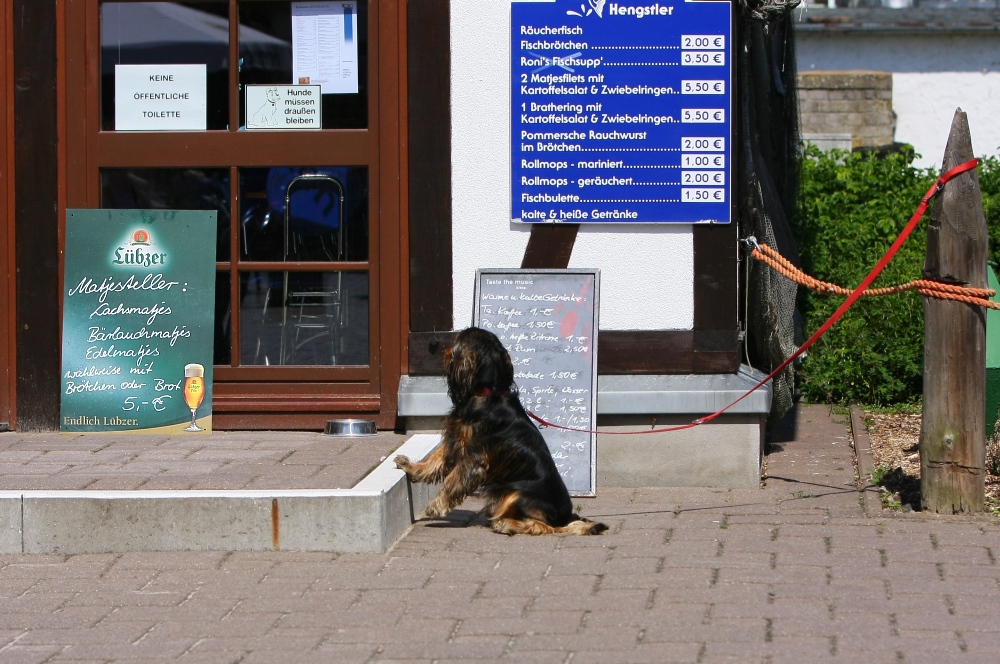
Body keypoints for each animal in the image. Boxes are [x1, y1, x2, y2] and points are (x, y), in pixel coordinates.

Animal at [394, 328, 604, 540]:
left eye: (456, 341)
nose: (443, 350)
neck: (487, 392)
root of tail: (566, 516)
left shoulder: (474, 458)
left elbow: (452, 479)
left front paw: (436, 507)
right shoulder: (456, 439)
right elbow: (434, 459)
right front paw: (411, 468)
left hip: (517, 493)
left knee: (544, 527)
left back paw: (506, 524)